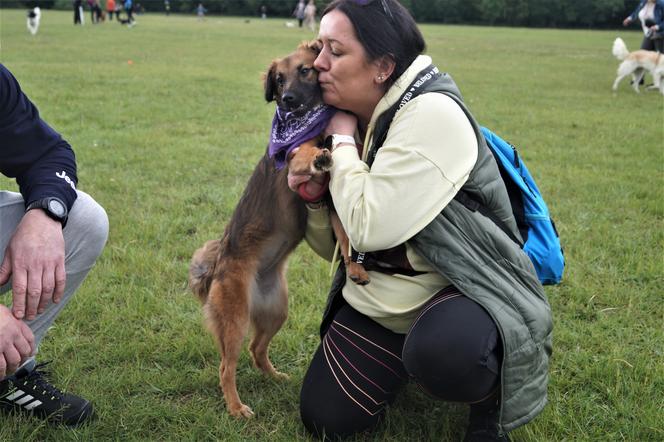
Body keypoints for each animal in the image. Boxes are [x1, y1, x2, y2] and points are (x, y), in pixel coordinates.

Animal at [188, 40, 368, 418]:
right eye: (279, 78)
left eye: (305, 70)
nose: (286, 99)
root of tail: (217, 266)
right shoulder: (298, 164)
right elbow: (308, 155)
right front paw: (320, 155)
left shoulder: (333, 202)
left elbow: (347, 238)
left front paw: (356, 268)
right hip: (235, 321)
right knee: (226, 367)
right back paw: (236, 407)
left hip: (277, 312)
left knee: (257, 350)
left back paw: (275, 377)